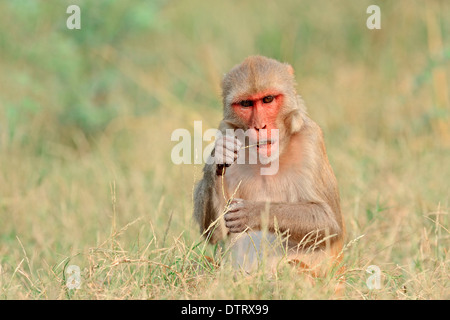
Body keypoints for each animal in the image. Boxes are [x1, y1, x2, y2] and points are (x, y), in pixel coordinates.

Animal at [193, 55, 344, 276]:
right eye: (246, 103)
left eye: (268, 99)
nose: (259, 126)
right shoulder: (225, 129)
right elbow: (216, 232)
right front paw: (218, 156)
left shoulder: (311, 139)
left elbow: (329, 223)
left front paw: (254, 212)